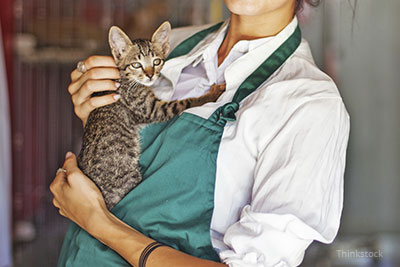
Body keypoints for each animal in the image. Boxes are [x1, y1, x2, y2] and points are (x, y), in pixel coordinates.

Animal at [78, 22, 225, 211]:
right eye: (136, 64)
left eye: (156, 61)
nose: (149, 75)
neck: (128, 80)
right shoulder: (151, 109)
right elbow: (184, 102)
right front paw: (210, 94)